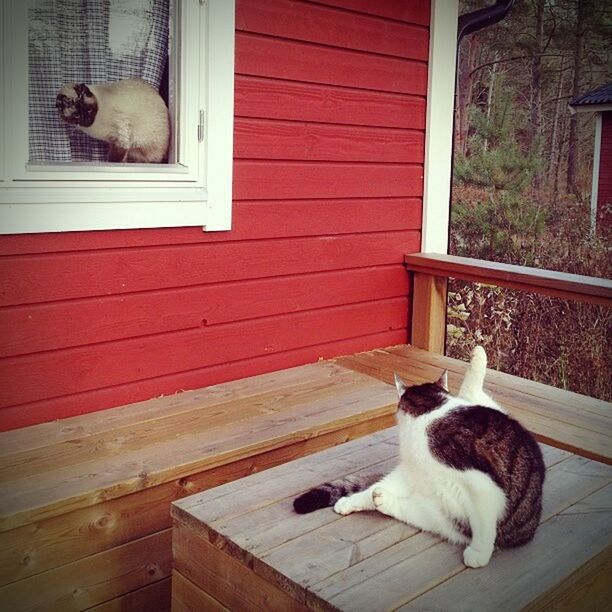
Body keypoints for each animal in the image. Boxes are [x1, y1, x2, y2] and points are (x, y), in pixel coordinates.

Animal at [292, 346, 544, 568]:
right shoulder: (411, 471)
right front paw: (351, 501)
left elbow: (484, 524)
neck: (430, 412)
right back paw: (383, 499)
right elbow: (371, 489)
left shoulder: (482, 485)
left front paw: (479, 553)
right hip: (438, 516)